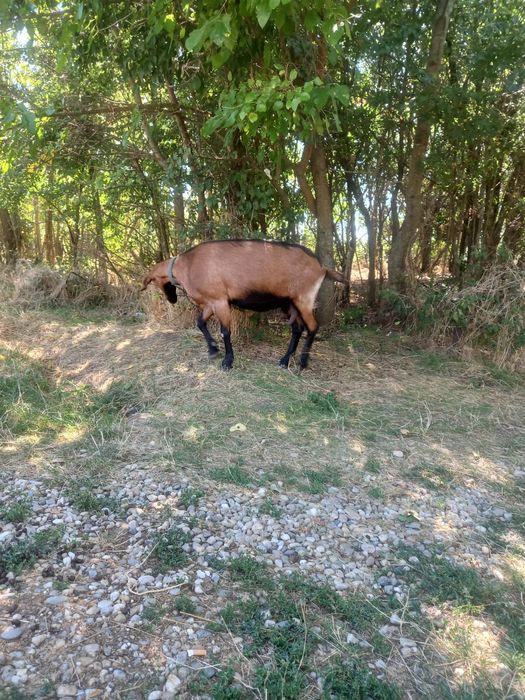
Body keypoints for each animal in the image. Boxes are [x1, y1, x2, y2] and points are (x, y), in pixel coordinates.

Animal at [141, 239, 347, 370]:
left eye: (155, 283)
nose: (172, 300)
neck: (188, 265)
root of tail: (322, 268)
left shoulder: (220, 301)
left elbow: (225, 331)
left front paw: (227, 361)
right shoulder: (210, 303)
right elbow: (200, 323)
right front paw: (213, 349)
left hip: (303, 299)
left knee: (313, 327)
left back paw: (303, 363)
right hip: (289, 303)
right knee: (297, 329)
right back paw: (284, 360)